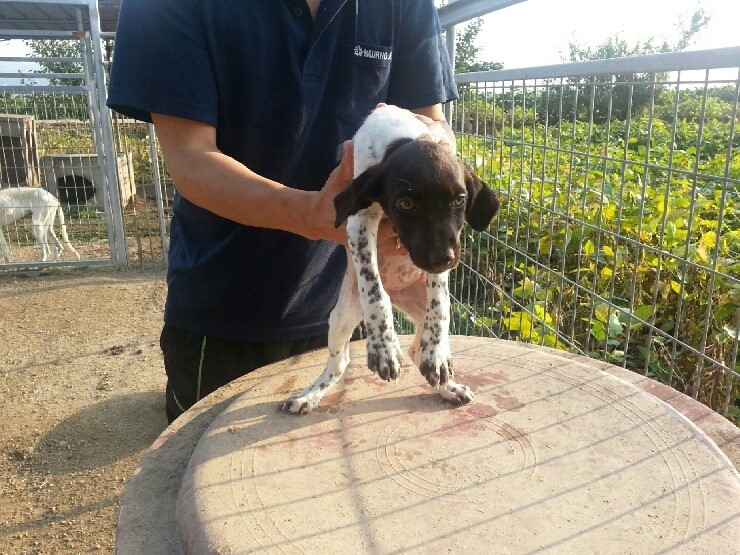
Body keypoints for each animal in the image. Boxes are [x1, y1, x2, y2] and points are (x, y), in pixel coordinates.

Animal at [282, 105, 499, 414]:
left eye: (459, 200)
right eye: (405, 204)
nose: (443, 259)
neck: (404, 138)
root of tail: (400, 295)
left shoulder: (444, 254)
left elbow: (439, 303)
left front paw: (435, 353)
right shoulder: (358, 223)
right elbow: (374, 290)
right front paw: (383, 347)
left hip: (419, 308)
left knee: (419, 346)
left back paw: (445, 381)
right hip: (341, 318)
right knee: (339, 362)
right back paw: (310, 395)